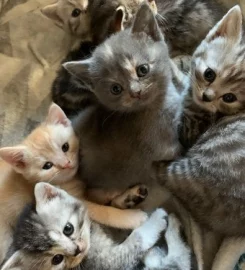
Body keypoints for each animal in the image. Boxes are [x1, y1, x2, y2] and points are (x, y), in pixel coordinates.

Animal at [0, 103, 147, 264]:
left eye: (65, 147)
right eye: (47, 165)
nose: (66, 164)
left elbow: (96, 194)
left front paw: (119, 194)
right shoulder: (76, 201)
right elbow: (105, 212)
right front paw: (132, 217)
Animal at [1, 181, 168, 270]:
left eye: (68, 229)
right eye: (57, 259)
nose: (77, 250)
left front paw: (128, 198)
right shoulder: (106, 263)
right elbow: (136, 240)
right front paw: (155, 220)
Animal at [62, 2, 183, 206]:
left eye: (143, 69)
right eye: (116, 89)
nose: (135, 92)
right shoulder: (163, 148)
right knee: (98, 198)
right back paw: (129, 198)